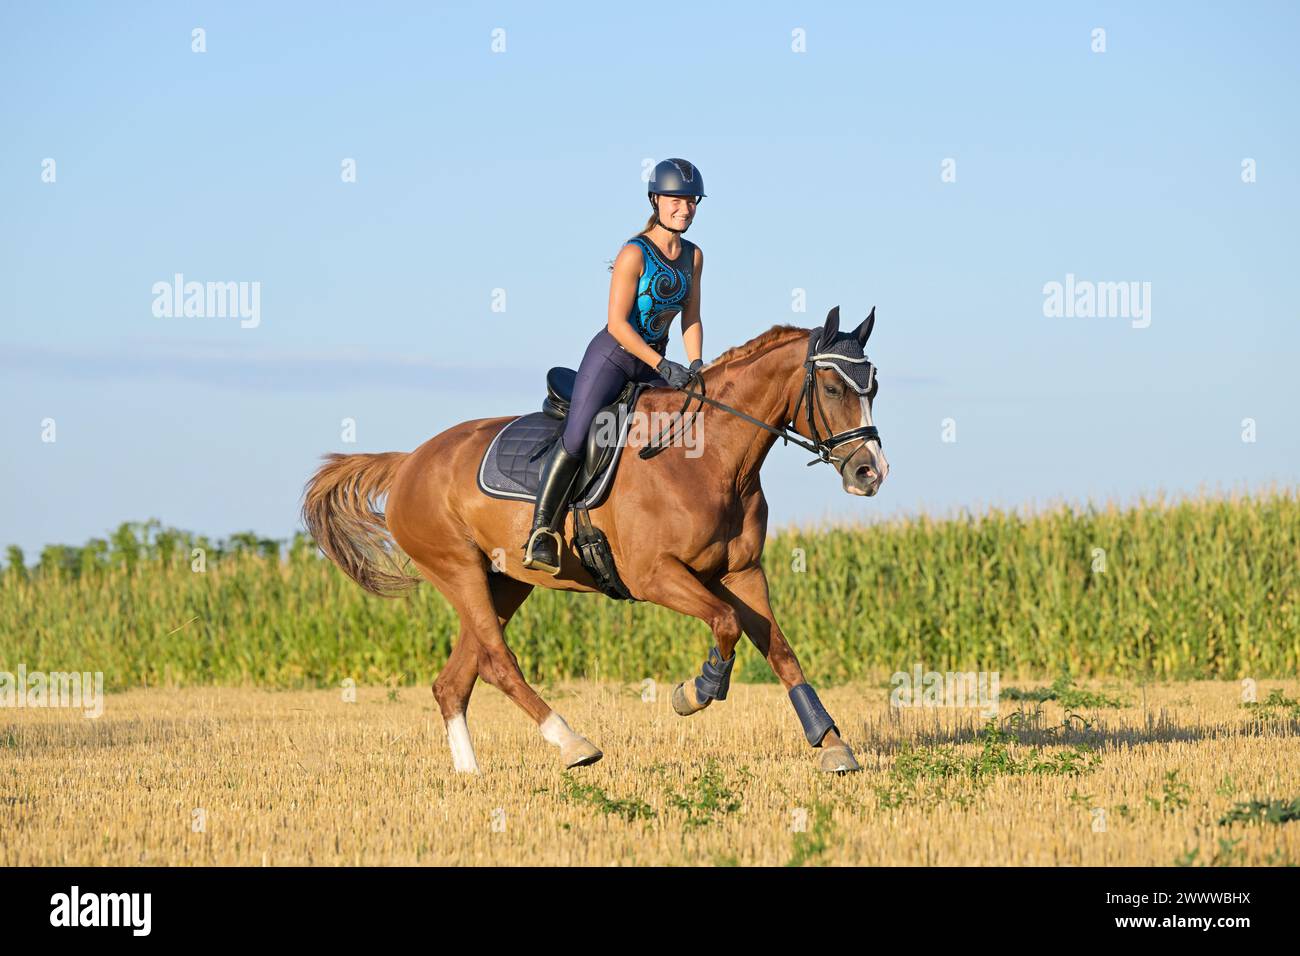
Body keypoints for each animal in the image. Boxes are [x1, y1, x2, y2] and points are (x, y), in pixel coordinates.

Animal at [302, 310, 889, 775]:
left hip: (505, 580)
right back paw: (573, 743)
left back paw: (471, 773)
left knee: (457, 678)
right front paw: (694, 693)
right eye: (833, 389)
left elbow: (781, 651)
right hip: (457, 568)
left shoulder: (742, 573)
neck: (712, 458)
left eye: (874, 388)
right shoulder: (655, 575)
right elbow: (725, 624)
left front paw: (832, 745)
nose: (871, 472)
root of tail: (409, 462)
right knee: (497, 661)